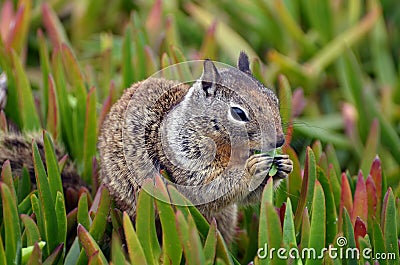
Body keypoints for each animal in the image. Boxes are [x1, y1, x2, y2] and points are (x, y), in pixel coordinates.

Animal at [99, 51, 294, 239]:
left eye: (274, 100)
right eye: (238, 113)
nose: (279, 141)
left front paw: (284, 166)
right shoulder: (186, 159)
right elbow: (208, 189)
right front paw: (251, 168)